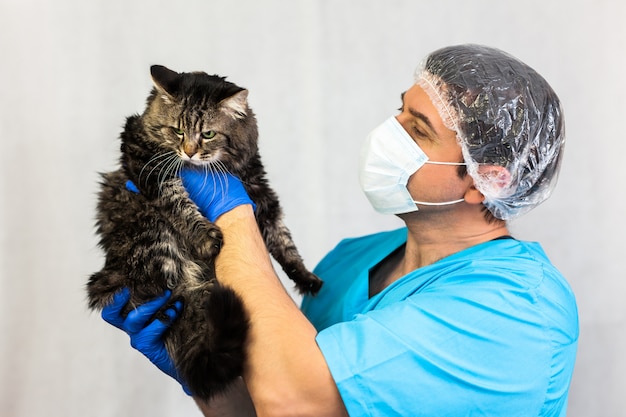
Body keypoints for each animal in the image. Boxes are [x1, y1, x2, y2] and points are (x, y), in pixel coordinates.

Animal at [86, 65, 322, 400]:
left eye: (208, 134)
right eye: (177, 131)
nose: (189, 153)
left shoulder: (258, 190)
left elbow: (283, 239)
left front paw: (305, 278)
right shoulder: (146, 161)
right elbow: (178, 203)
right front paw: (205, 238)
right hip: (155, 237)